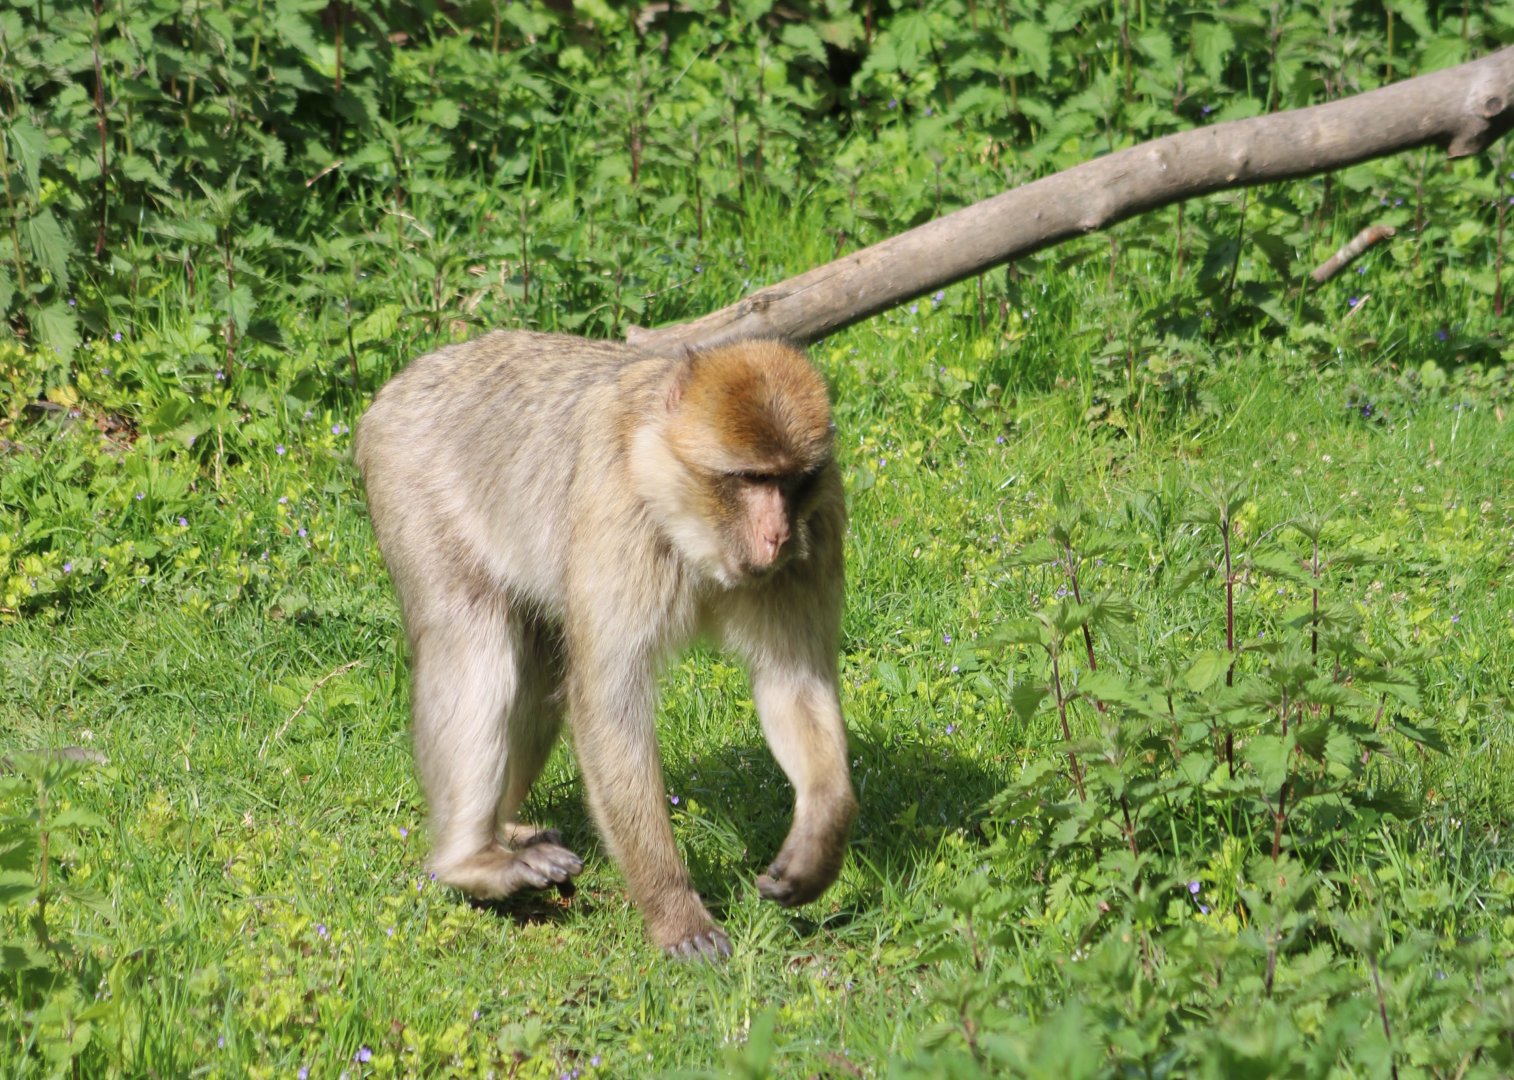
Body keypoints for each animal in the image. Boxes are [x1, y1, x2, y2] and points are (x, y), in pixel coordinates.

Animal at [353, 331, 855, 959]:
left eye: (791, 481)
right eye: (750, 479)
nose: (777, 535)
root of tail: (405, 379)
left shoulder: (818, 532)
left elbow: (794, 684)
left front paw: (822, 832)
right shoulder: (617, 517)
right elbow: (608, 704)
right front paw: (674, 910)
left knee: (539, 662)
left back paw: (504, 829)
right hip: (409, 479)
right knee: (470, 638)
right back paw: (471, 860)